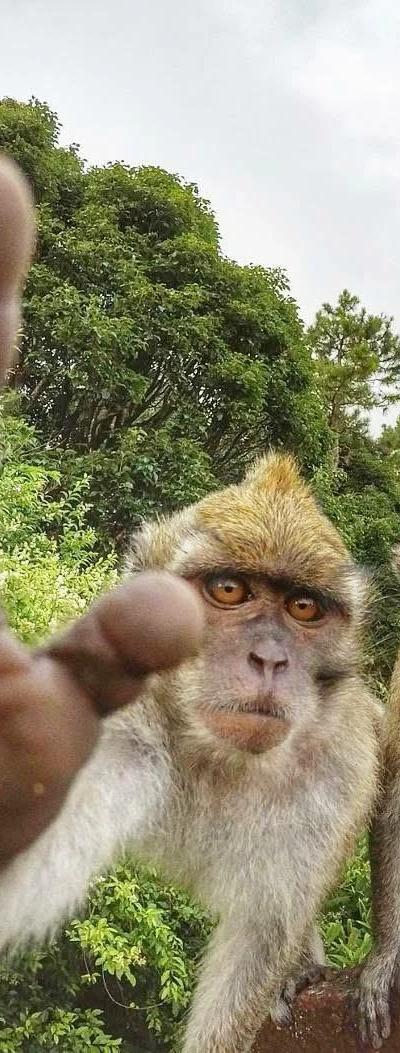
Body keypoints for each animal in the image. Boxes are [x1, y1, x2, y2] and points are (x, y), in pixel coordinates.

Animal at [0, 452, 381, 1053]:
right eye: (228, 590)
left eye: (303, 607)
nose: (270, 659)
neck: (214, 755)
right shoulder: (120, 729)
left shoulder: (339, 766)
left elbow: (259, 937)